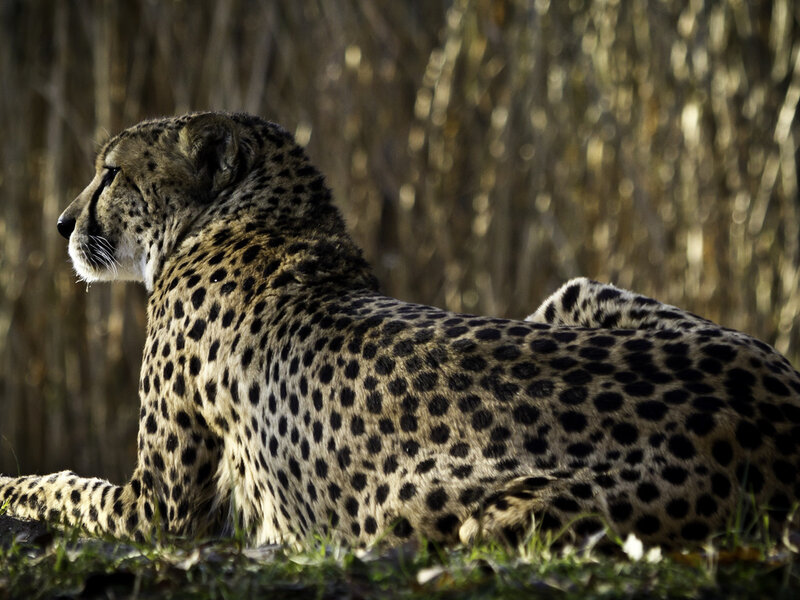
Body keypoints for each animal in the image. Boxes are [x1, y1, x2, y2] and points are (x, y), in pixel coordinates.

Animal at [1, 112, 799, 551]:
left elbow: (66, 486)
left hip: (436, 510)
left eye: (110, 172)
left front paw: (12, 484)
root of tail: (777, 411)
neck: (245, 217)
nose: (62, 224)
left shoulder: (160, 510)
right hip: (579, 293)